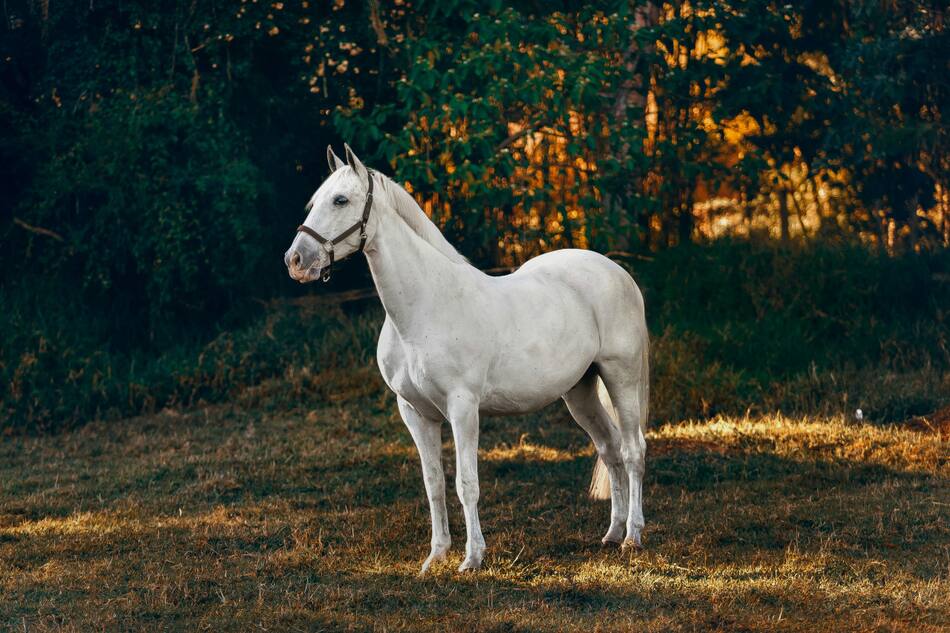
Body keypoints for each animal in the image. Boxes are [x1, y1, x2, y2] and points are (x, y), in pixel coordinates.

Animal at [285, 145, 649, 574]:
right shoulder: (415, 412)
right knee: (609, 448)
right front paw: (436, 556)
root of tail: (616, 272)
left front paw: (472, 558)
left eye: (340, 200)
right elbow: (434, 484)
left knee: (632, 450)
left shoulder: (463, 407)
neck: (425, 306)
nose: (295, 260)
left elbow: (466, 484)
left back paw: (632, 537)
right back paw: (611, 533)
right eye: (315, 202)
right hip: (580, 391)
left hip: (620, 376)